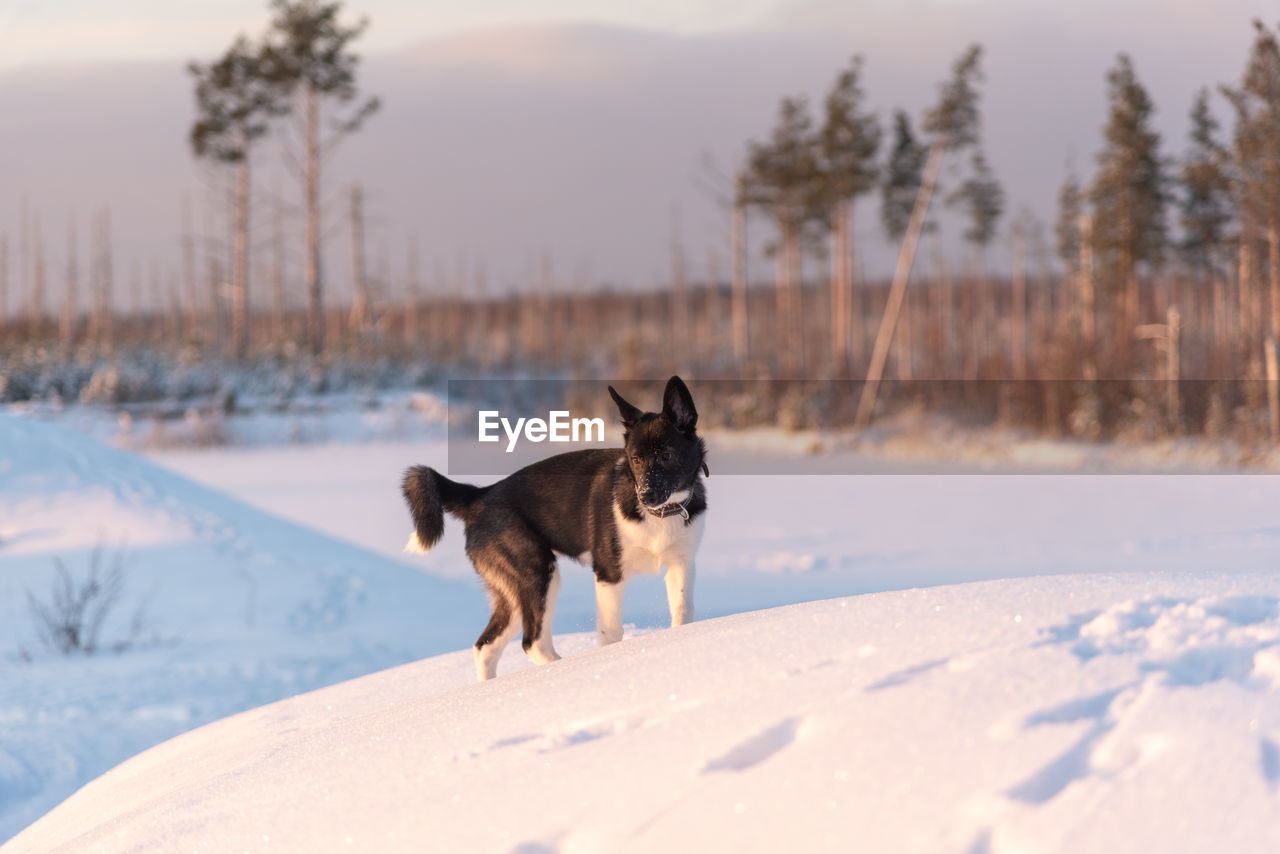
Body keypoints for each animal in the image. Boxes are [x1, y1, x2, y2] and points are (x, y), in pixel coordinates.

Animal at [396, 376, 706, 686]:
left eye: (666, 456)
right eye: (636, 459)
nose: (645, 496)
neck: (660, 515)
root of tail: (479, 497)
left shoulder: (681, 564)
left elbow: (682, 612)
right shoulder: (609, 574)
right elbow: (611, 633)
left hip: (514, 593)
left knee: (485, 646)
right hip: (537, 573)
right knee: (531, 641)